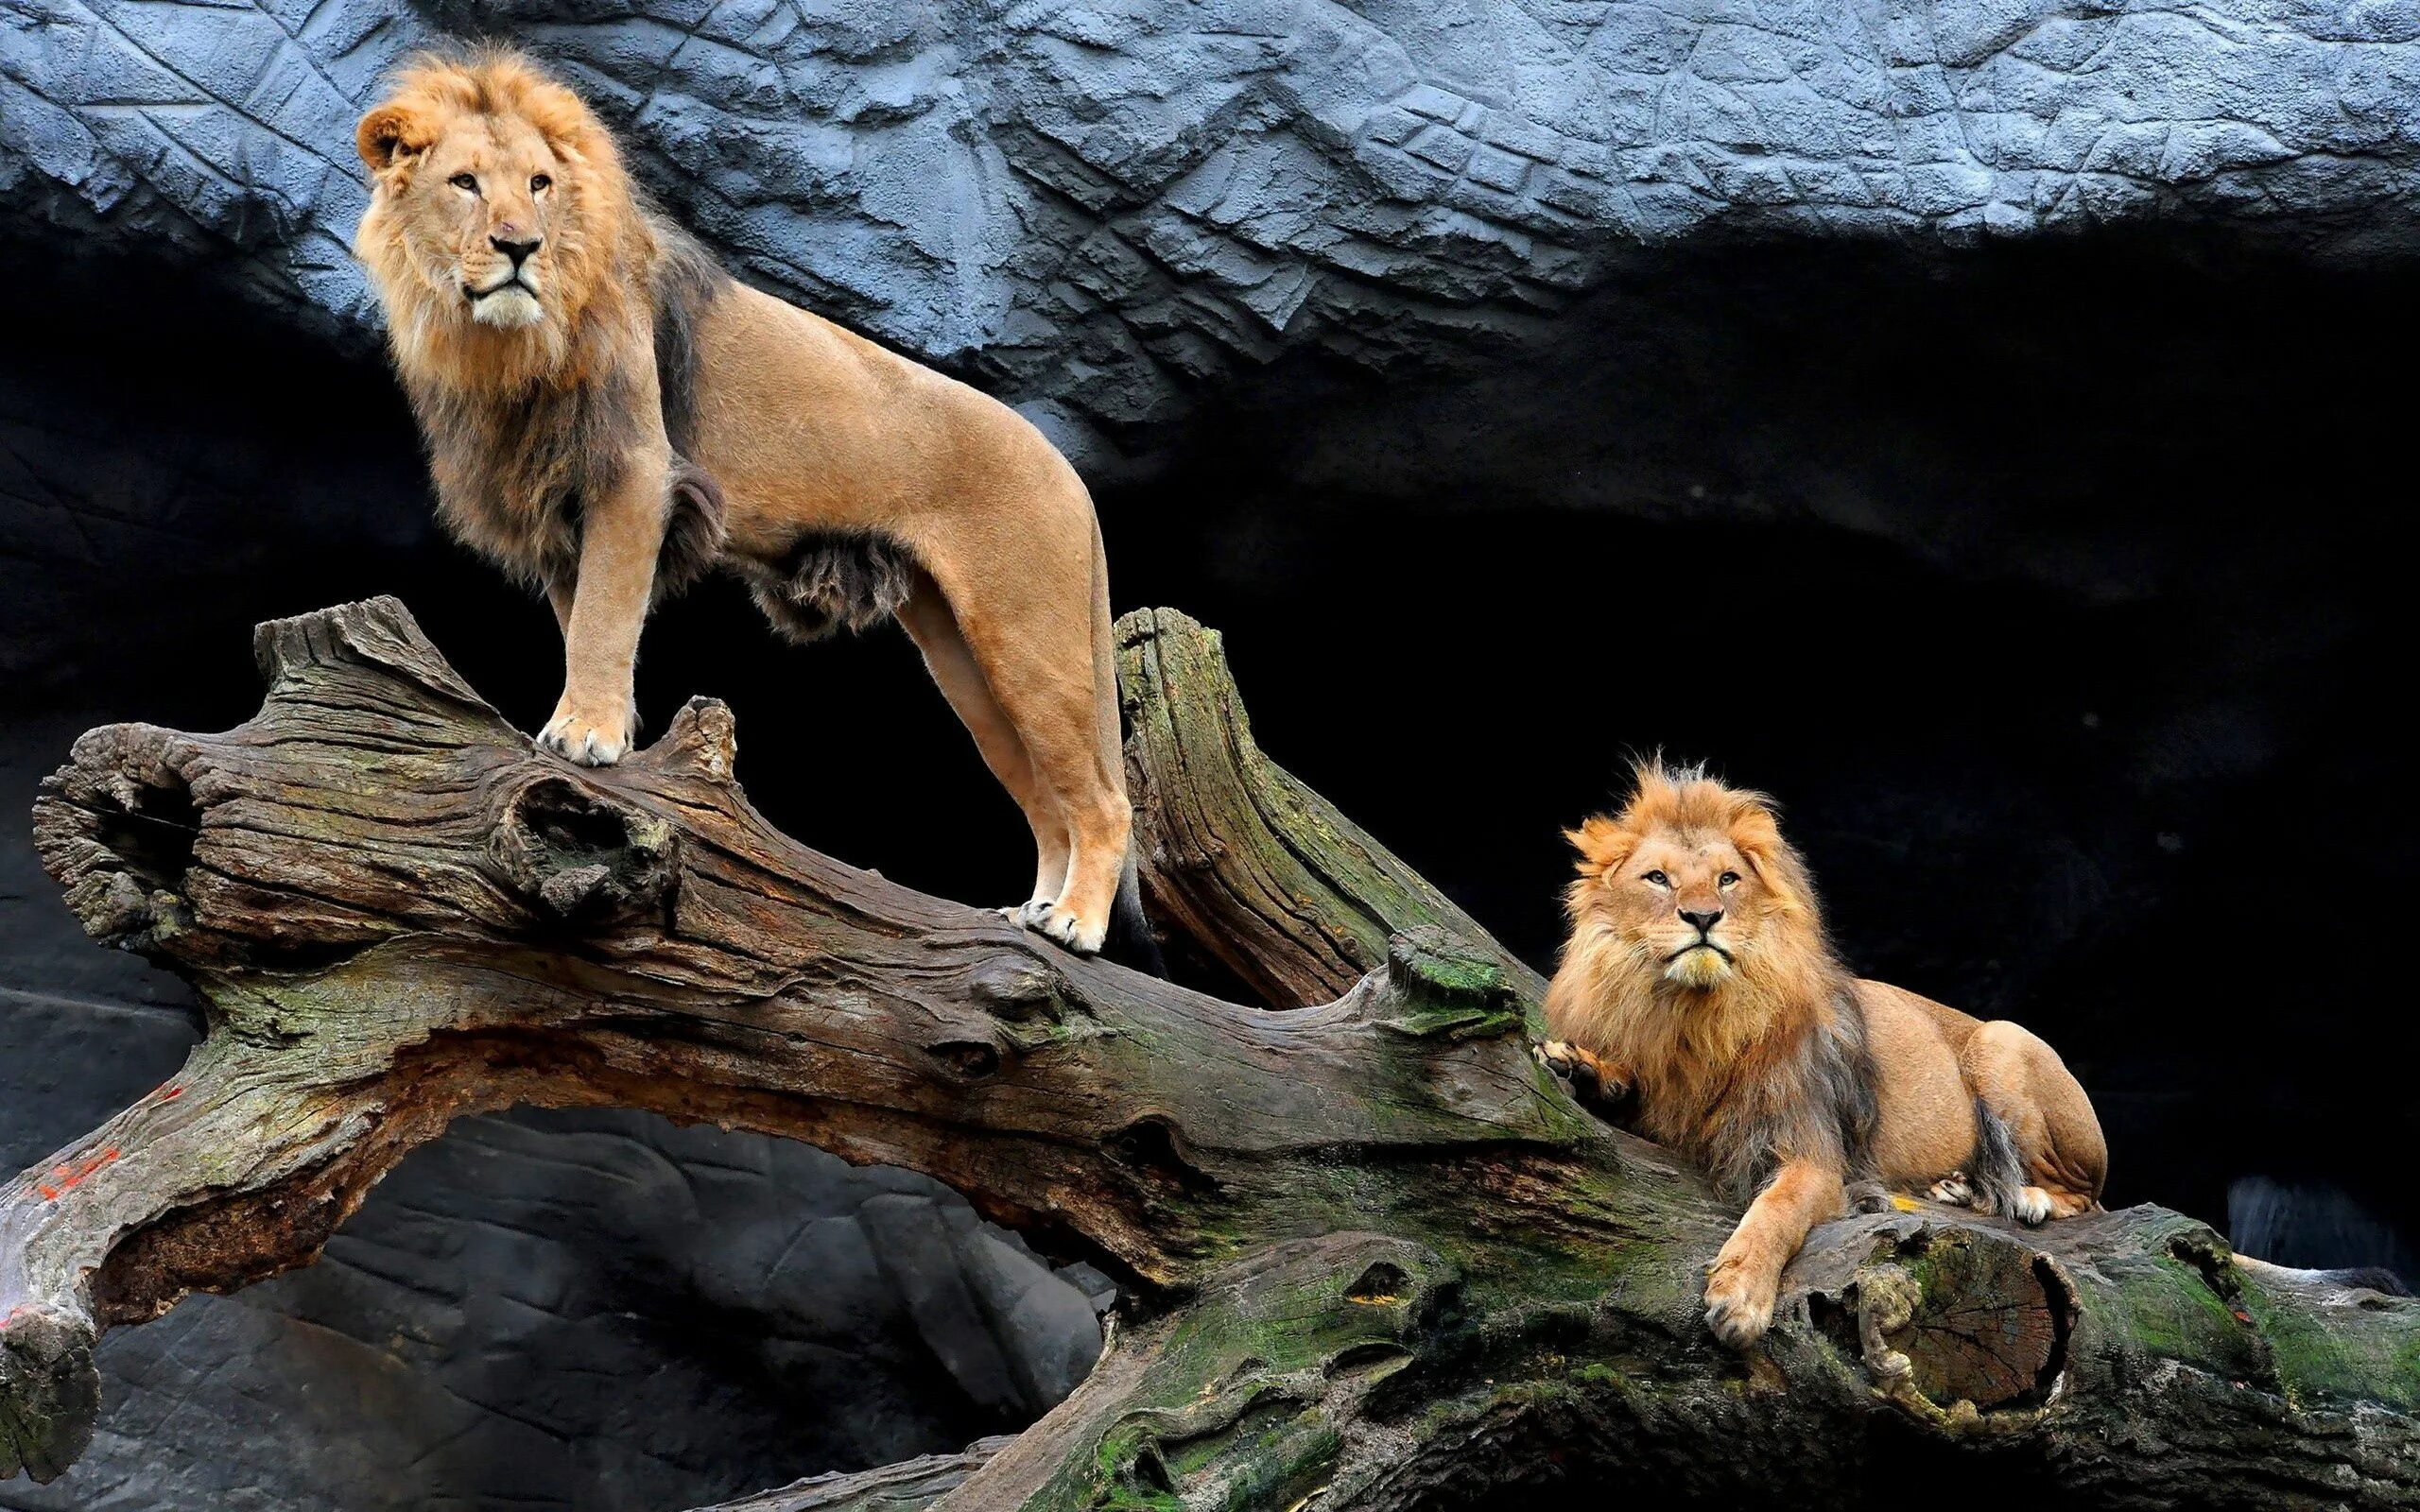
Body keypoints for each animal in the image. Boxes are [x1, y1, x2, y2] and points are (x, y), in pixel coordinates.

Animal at [351, 46, 1151, 953]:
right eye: (465, 183)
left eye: (540, 184)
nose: (519, 247)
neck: (506, 344)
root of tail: (1070, 473)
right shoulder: (560, 502)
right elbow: (579, 615)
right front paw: (598, 728)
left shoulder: (635, 470)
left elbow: (603, 619)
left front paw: (585, 737)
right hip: (964, 659)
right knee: (1047, 801)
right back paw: (1036, 913)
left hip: (1029, 638)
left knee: (1102, 800)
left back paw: (1076, 924)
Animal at [1539, 764, 2110, 1345]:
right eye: (1657, 878)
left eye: (1728, 879)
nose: (1703, 917)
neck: (1695, 1019)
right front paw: (1580, 1067)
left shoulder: (1812, 1151)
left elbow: (1776, 1209)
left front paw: (1740, 1295)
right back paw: (1957, 1187)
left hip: (2001, 1041)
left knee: (2083, 1195)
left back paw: (2026, 1197)